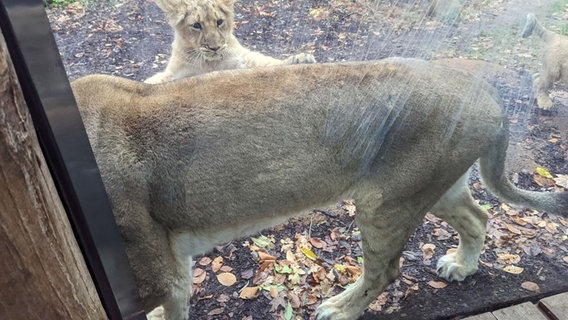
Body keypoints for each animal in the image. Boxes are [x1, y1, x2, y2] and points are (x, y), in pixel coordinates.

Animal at [72, 58, 568, 320]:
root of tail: (480, 85)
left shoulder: (158, 271)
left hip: (385, 201)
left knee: (386, 270)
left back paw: (340, 309)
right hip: (435, 187)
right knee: (479, 217)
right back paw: (462, 266)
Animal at [144, 0, 316, 84]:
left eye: (219, 22)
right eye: (196, 25)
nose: (215, 48)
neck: (210, 63)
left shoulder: (241, 60)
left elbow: (265, 63)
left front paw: (300, 59)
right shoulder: (177, 72)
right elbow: (161, 79)